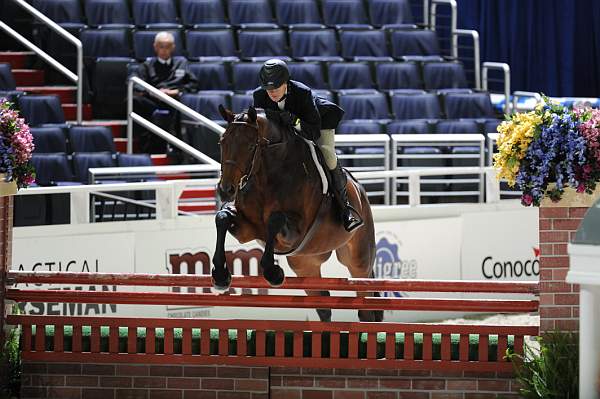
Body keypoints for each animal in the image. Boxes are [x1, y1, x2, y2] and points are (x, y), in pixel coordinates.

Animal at [213, 104, 382, 324]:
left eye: (250, 146)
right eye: (222, 142)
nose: (226, 190)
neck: (266, 175)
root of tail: (360, 190)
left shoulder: (294, 233)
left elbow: (275, 220)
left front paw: (273, 272)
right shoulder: (247, 230)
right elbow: (222, 218)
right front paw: (220, 275)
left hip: (358, 260)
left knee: (365, 303)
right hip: (305, 263)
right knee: (323, 306)